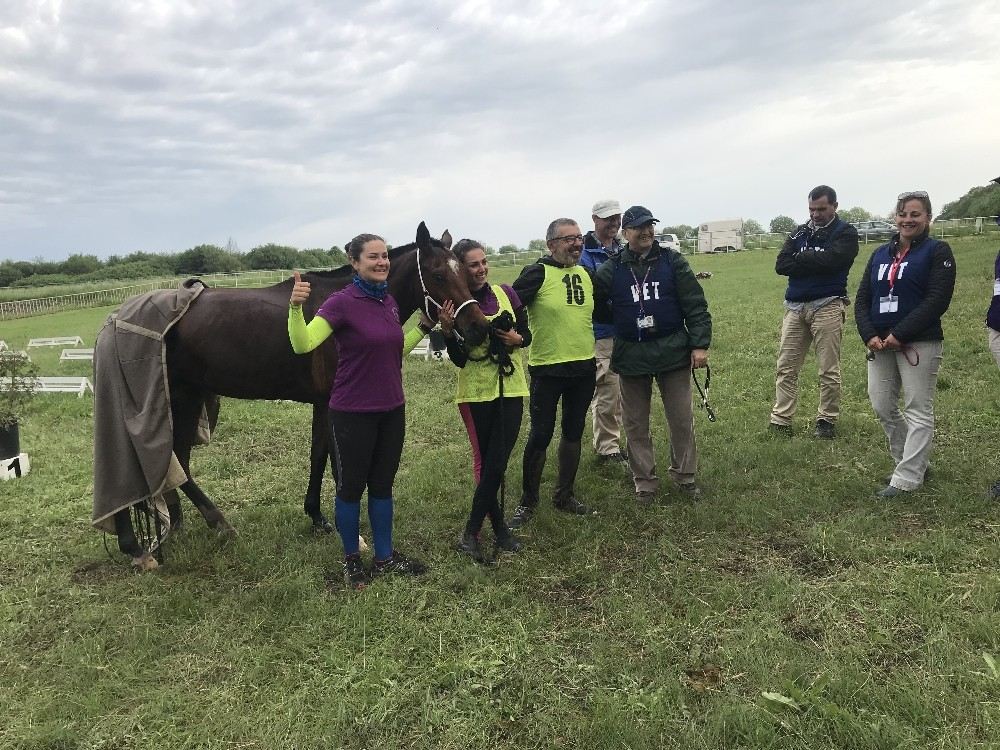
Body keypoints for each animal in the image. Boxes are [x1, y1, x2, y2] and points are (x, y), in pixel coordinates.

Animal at [115, 223, 490, 568]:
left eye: (464, 270)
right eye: (439, 275)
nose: (479, 327)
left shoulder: (322, 405)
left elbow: (317, 456)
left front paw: (318, 517)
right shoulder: (334, 405)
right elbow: (337, 465)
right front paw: (350, 531)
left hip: (189, 397)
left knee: (176, 459)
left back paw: (185, 524)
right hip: (175, 398)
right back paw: (151, 543)